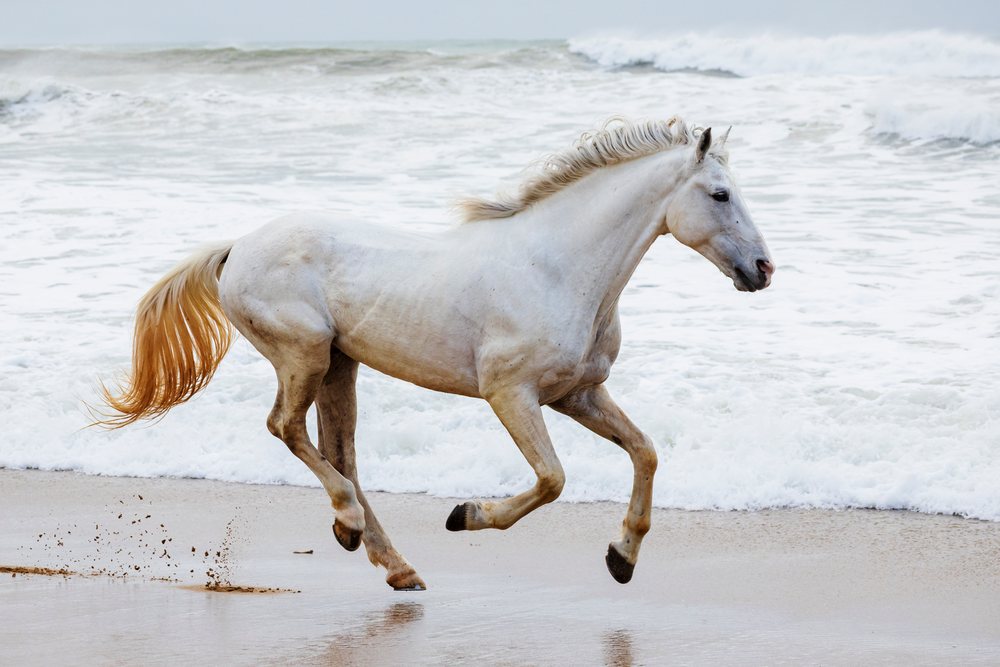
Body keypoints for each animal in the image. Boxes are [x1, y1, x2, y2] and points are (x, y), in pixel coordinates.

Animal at [96, 116, 774, 590]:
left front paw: (621, 557)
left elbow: (645, 452)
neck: (558, 270)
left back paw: (386, 559)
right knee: (287, 429)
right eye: (720, 194)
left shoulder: (578, 394)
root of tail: (237, 247)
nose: (763, 269)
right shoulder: (511, 395)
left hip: (340, 364)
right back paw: (351, 524)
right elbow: (553, 479)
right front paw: (465, 515)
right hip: (304, 354)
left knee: (339, 452)